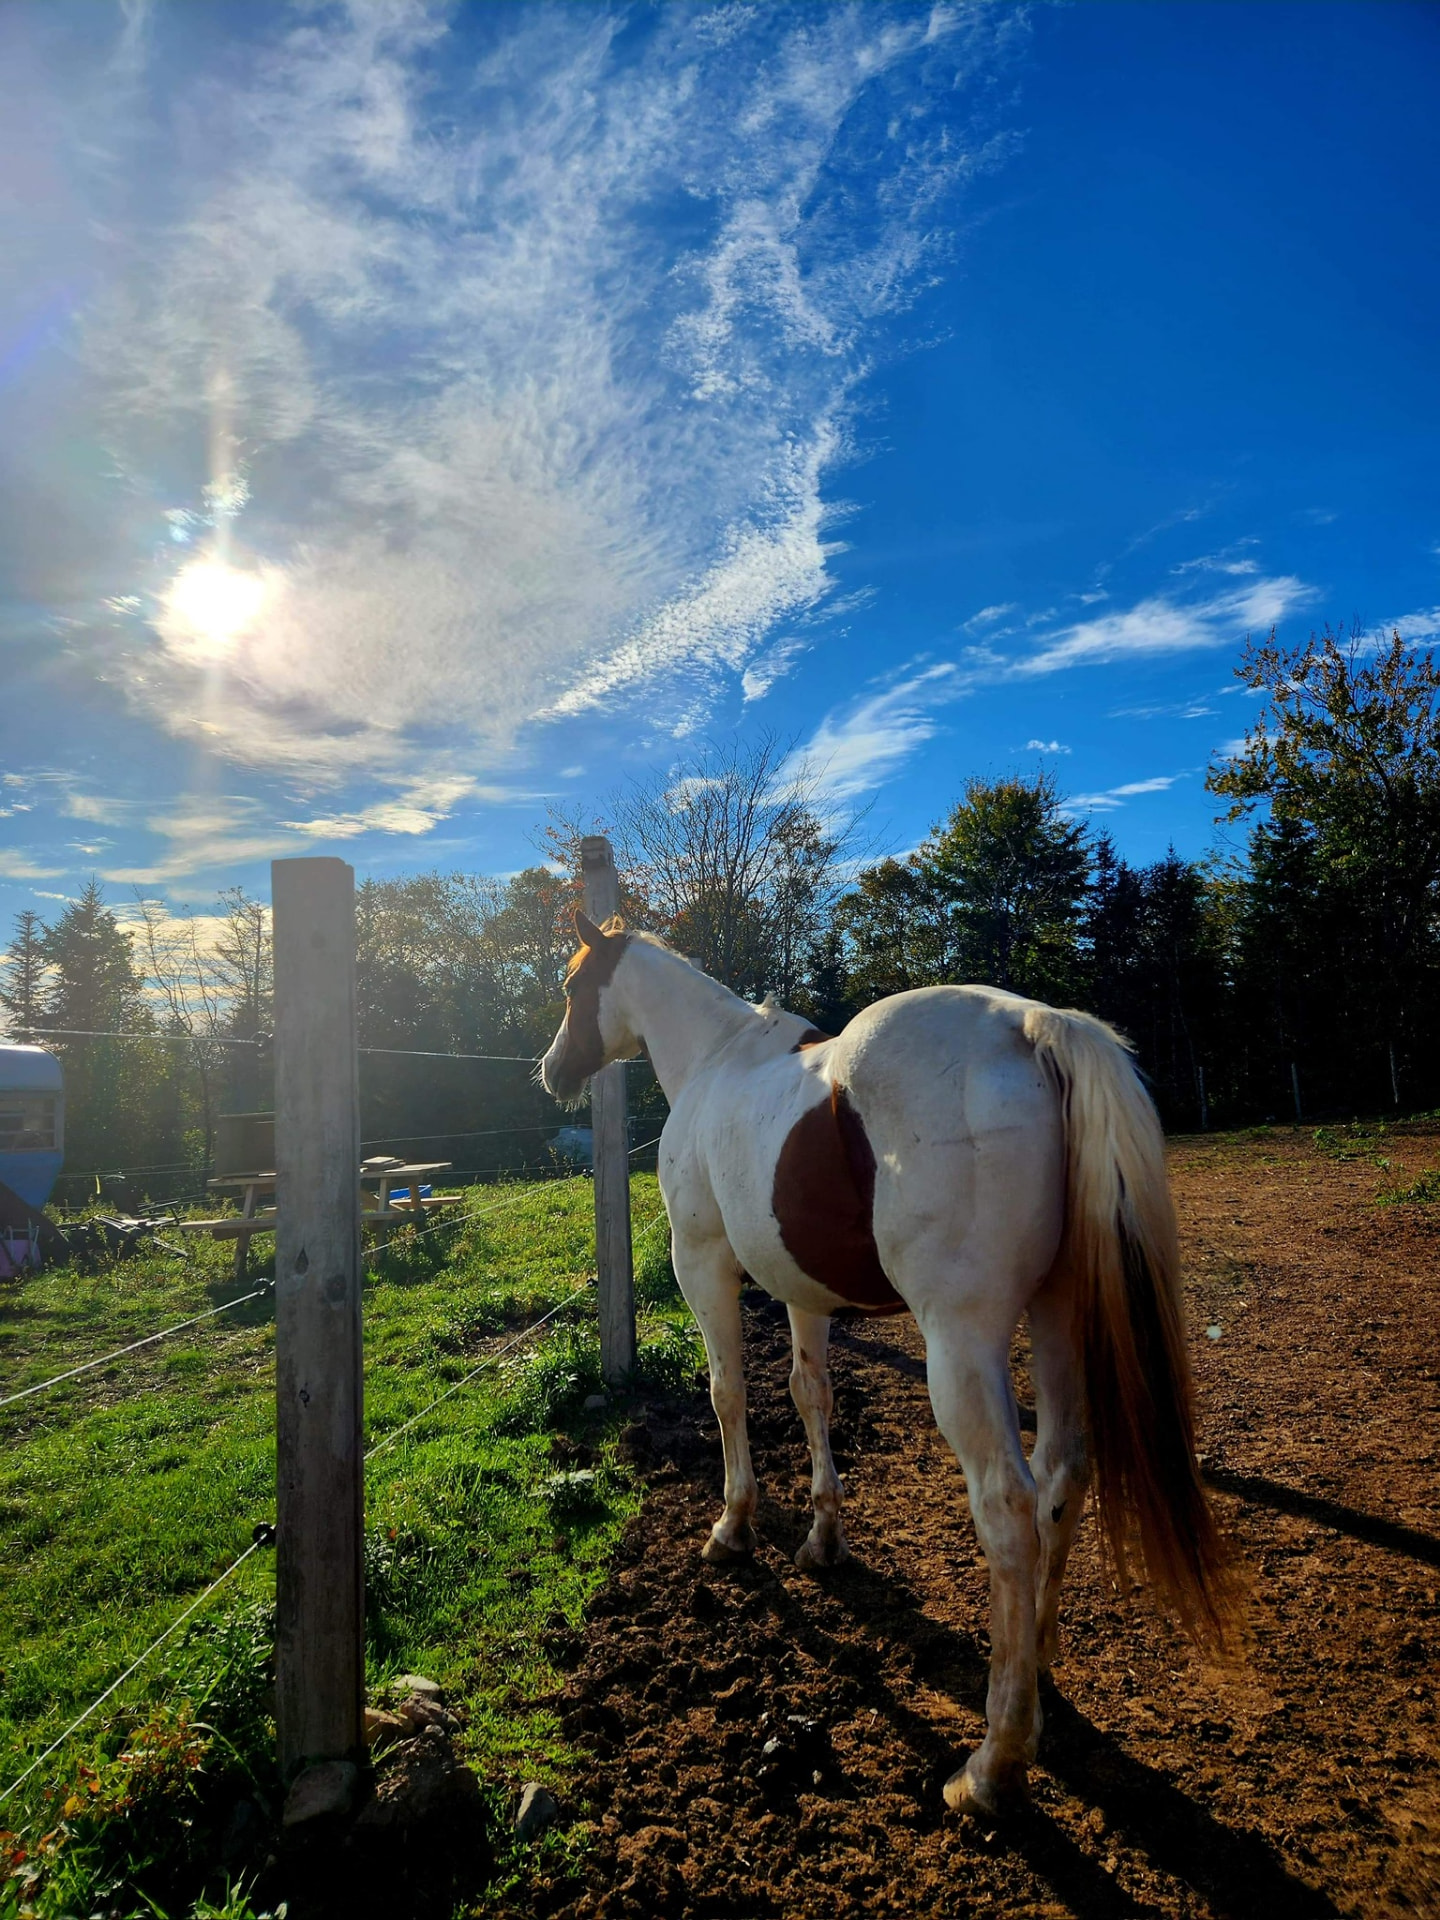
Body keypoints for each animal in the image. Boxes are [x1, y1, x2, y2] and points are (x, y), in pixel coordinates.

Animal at [541, 910, 1233, 1817]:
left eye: (572, 984)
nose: (551, 1070)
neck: (717, 1060)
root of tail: (1036, 1027)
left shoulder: (704, 1264)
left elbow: (729, 1394)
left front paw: (733, 1526)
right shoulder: (799, 1285)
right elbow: (810, 1394)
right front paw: (822, 1537)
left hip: (962, 1341)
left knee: (1009, 1505)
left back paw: (993, 1762)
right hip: (1057, 1317)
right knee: (1062, 1475)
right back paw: (1036, 1671)